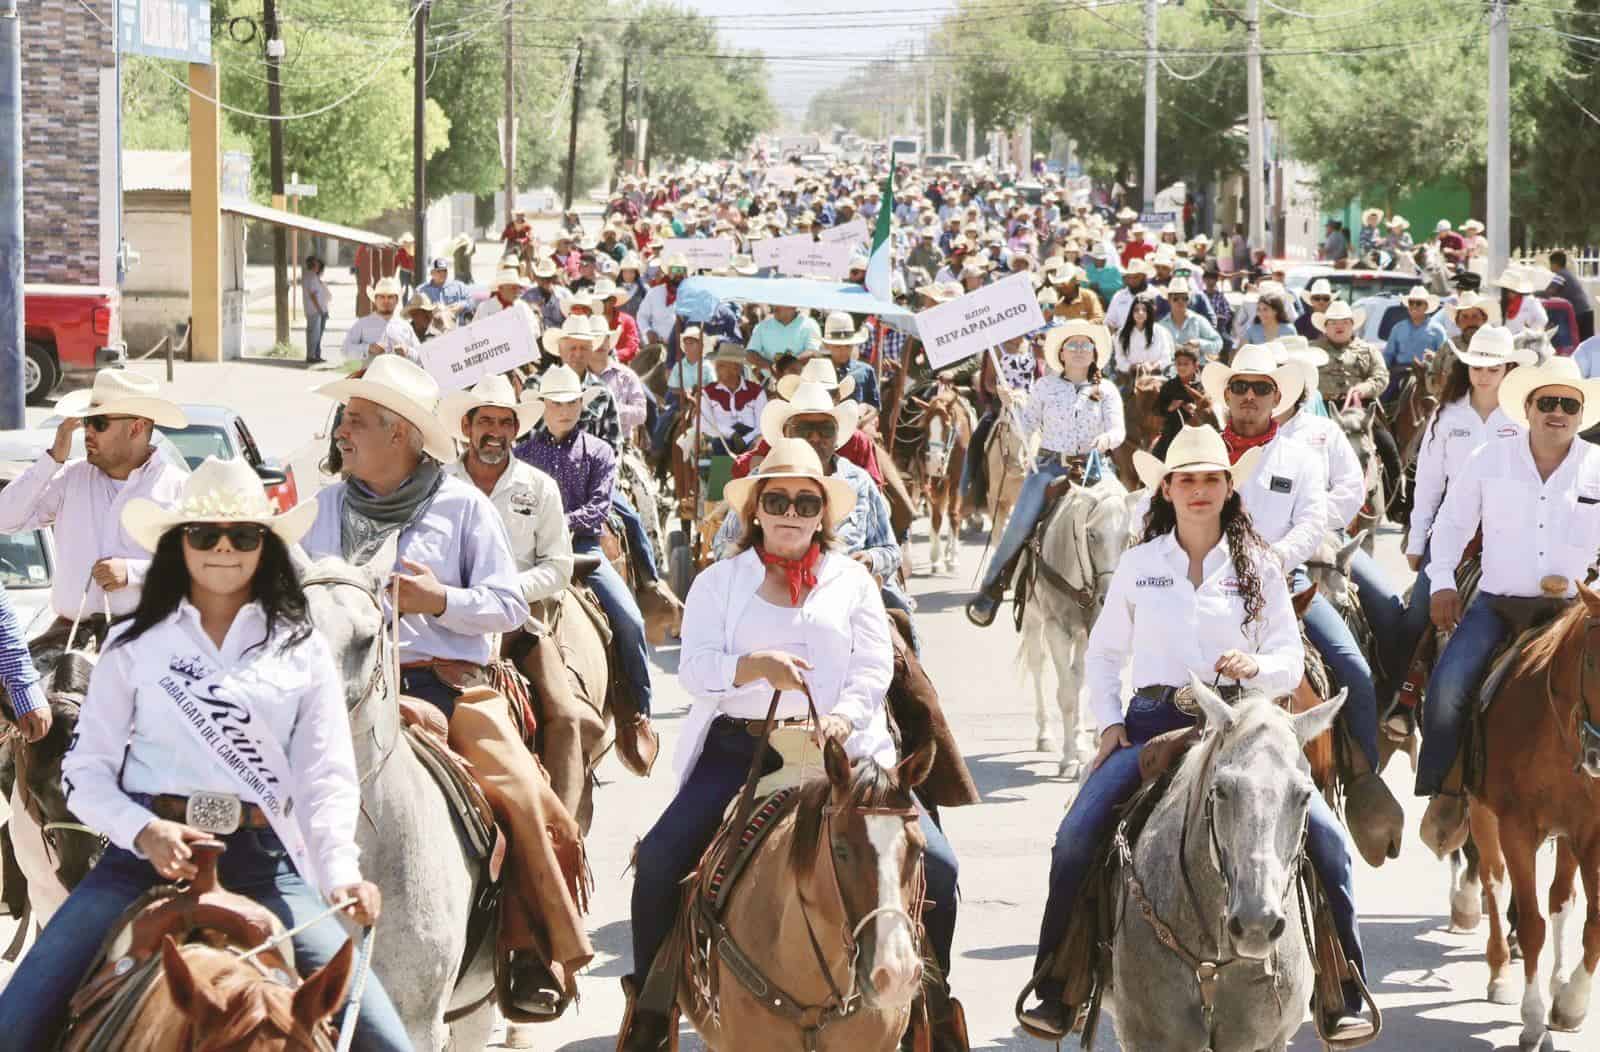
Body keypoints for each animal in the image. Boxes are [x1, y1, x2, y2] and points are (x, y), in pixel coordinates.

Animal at [1024, 476, 1139, 777]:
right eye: (1092, 535)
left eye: (1127, 538)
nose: (1110, 595)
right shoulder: (1057, 629)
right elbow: (1067, 694)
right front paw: (1069, 758)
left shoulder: (1093, 633)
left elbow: (1085, 684)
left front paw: (1085, 746)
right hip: (1032, 618)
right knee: (1037, 665)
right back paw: (1044, 735)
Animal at [1465, 588, 1600, 1048]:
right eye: (1593, 661)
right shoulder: (1517, 829)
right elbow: (1530, 925)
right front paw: (1533, 1019)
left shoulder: (1592, 833)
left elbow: (1592, 920)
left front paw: (1571, 1004)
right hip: (1482, 813)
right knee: (1492, 878)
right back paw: (1500, 973)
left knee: (1561, 897)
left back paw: (1559, 980)